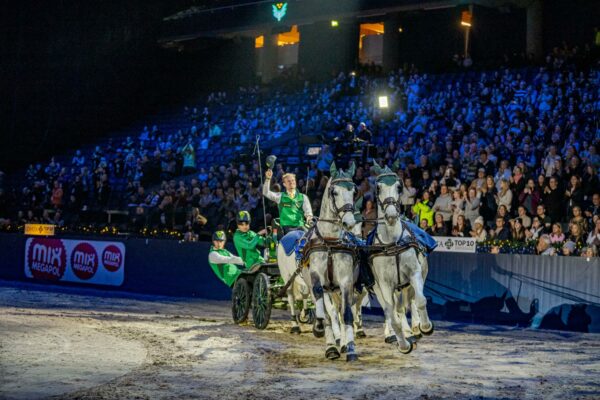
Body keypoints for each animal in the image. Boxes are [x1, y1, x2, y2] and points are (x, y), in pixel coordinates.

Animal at [368, 164, 434, 354]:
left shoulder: (414, 273)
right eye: (378, 188)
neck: (393, 243)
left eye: (399, 187)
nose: (390, 215)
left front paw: (424, 327)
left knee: (410, 300)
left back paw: (416, 327)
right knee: (395, 309)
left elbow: (420, 300)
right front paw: (403, 344)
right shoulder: (384, 285)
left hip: (414, 279)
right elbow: (393, 315)